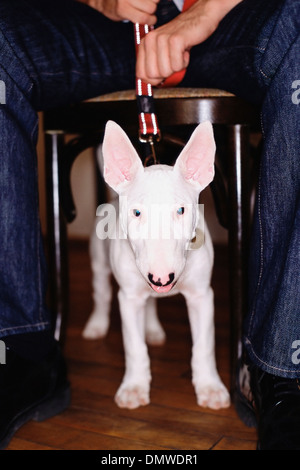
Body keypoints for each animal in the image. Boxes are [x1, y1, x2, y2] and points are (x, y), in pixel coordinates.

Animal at [82, 121, 230, 412]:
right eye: (137, 213)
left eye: (181, 210)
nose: (162, 279)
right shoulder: (129, 297)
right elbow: (134, 346)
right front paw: (134, 388)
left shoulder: (201, 295)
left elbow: (204, 345)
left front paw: (210, 388)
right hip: (99, 263)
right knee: (102, 293)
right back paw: (97, 325)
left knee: (150, 302)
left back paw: (152, 330)